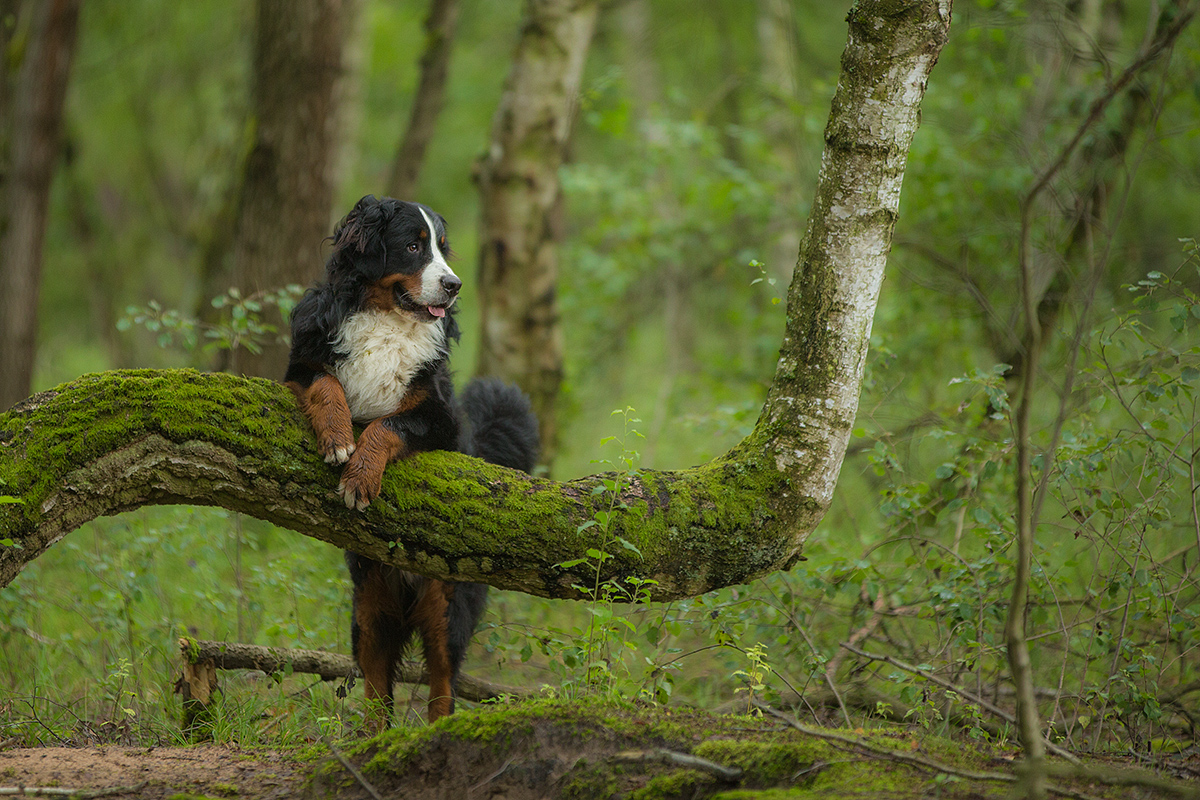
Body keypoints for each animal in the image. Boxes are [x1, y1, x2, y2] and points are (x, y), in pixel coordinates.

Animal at [283, 191, 537, 724]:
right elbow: (327, 385)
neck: (387, 321)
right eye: (413, 246)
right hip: (370, 610)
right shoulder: (303, 364)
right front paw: (337, 437)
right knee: (377, 689)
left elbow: (389, 425)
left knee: (442, 684)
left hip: (446, 606)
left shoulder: (441, 417)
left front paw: (360, 477)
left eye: (442, 246)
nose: (454, 285)